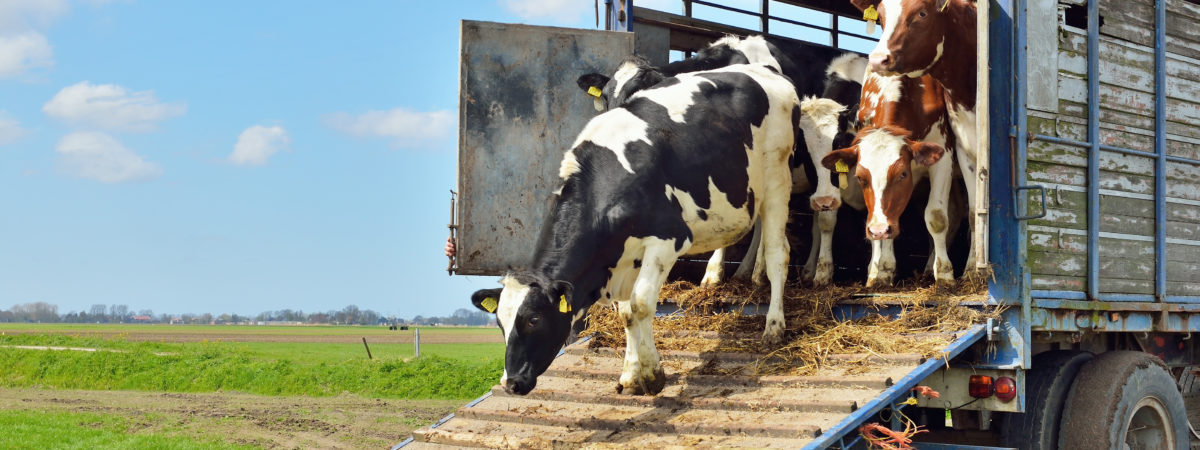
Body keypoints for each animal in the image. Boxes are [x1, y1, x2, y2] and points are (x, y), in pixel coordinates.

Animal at [472, 61, 801, 396]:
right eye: (500, 323)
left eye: (534, 319)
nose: (511, 382)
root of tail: (764, 70)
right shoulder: (621, 257)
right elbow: (626, 313)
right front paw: (631, 375)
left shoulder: (667, 238)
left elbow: (641, 304)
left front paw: (654, 375)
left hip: (777, 177)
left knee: (778, 254)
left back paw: (774, 326)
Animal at [820, 72, 950, 286]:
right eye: (860, 177)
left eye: (902, 174)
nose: (878, 230)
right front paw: (882, 270)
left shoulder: (943, 156)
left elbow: (936, 217)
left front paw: (945, 273)